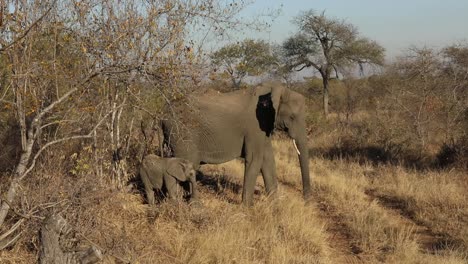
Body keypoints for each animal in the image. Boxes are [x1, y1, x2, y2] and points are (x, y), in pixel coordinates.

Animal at [161, 83, 310, 205]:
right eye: (292, 117)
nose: (306, 201)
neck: (274, 90)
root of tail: (163, 114)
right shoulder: (255, 126)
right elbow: (255, 159)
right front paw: (248, 208)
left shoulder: (264, 127)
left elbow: (268, 160)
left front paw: (276, 205)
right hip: (182, 134)